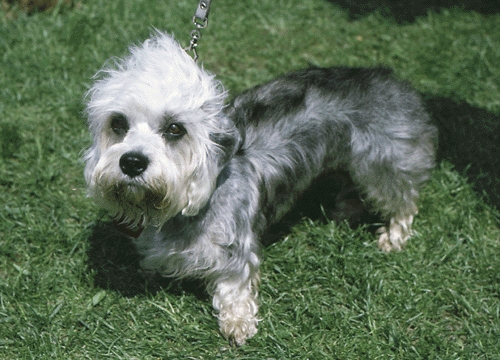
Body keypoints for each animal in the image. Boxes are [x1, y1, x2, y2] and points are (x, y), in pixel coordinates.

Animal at [85, 32, 438, 344]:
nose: (132, 162)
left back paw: (394, 236)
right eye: (118, 123)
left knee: (403, 200)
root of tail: (388, 77)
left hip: (384, 162)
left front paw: (238, 323)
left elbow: (234, 285)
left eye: (175, 129)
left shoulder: (236, 247)